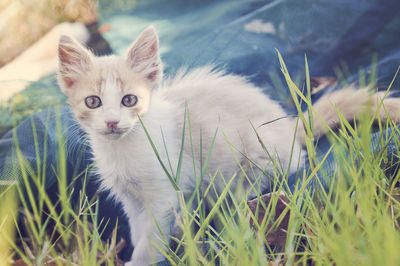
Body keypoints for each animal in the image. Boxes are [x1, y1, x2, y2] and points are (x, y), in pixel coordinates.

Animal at [56, 26, 400, 264]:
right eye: (93, 102)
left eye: (130, 100)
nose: (113, 122)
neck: (123, 148)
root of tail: (289, 127)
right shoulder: (132, 199)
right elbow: (139, 230)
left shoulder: (162, 193)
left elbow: (150, 237)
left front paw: (143, 259)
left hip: (254, 158)